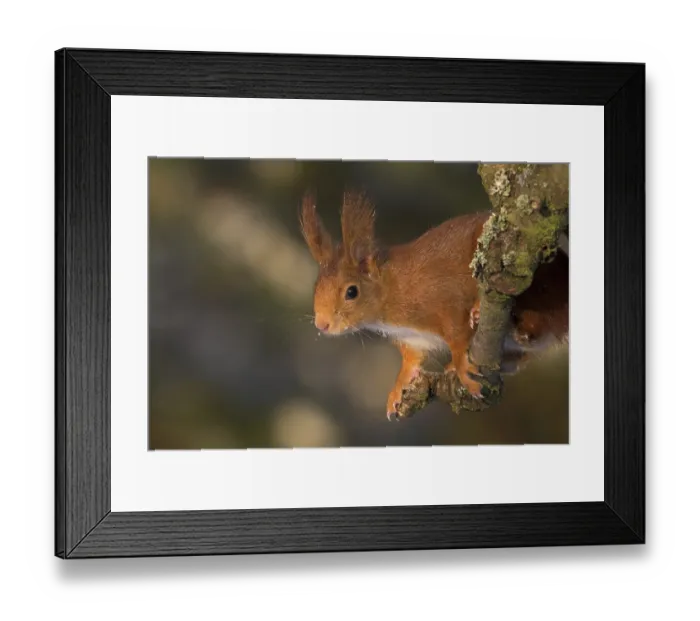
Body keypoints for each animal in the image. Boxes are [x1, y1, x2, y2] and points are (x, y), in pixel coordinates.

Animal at [300, 190, 569, 420]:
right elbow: (411, 361)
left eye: (351, 292)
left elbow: (457, 336)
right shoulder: (413, 338)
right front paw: (398, 388)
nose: (322, 325)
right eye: (316, 287)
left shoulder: (444, 301)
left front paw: (462, 366)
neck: (393, 291)